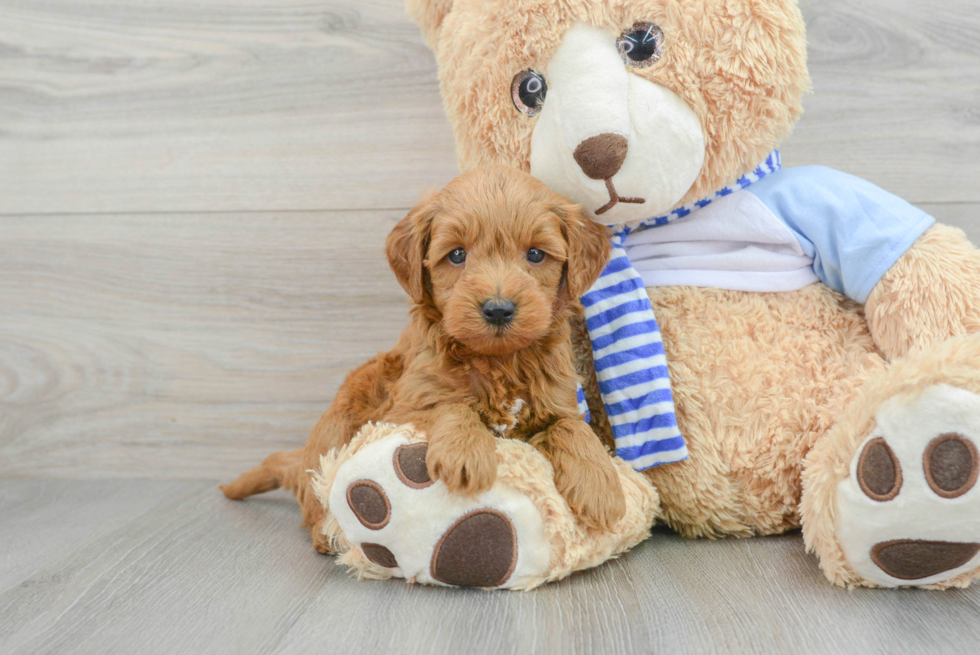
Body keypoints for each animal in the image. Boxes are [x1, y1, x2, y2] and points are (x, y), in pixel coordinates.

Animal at [220, 167, 628, 552]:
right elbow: (452, 405)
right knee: (316, 493)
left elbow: (572, 427)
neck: (497, 361)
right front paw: (466, 453)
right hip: (337, 428)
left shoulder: (557, 400)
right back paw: (327, 534)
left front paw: (600, 487)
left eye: (535, 254)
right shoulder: (403, 409)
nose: (498, 310)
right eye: (457, 254)